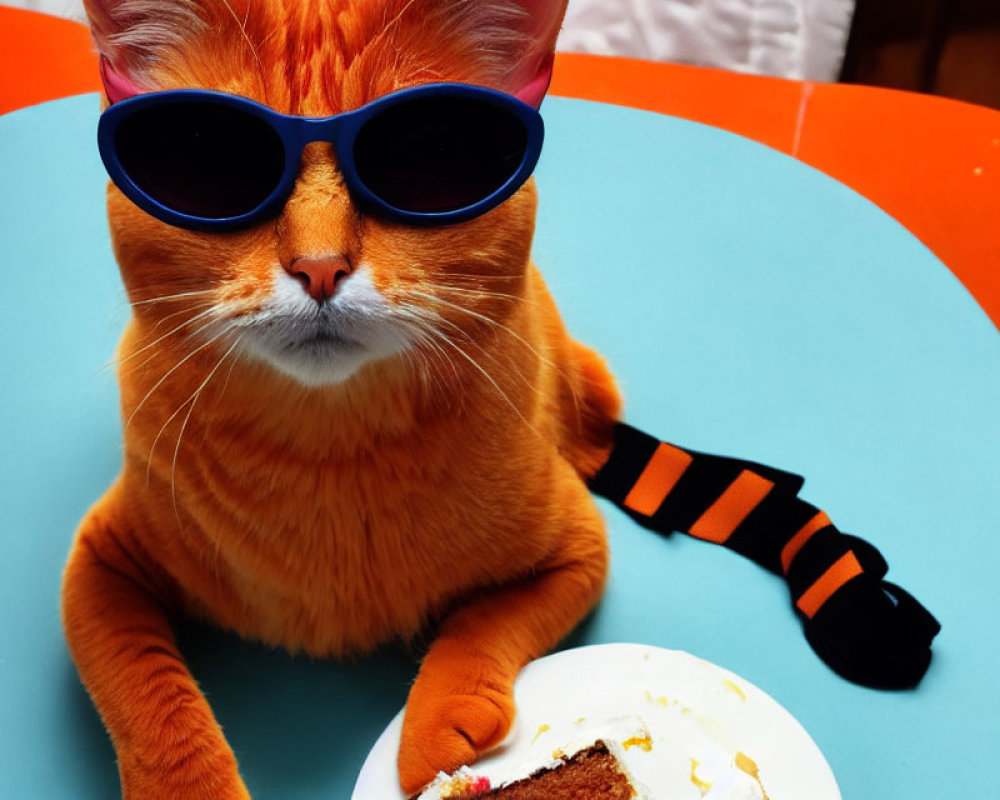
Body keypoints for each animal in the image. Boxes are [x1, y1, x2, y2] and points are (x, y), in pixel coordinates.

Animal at [60, 3, 616, 796]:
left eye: (433, 152)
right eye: (205, 154)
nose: (319, 267)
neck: (328, 453)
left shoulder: (577, 552)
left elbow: (478, 628)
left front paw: (430, 731)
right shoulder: (98, 569)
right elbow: (152, 705)